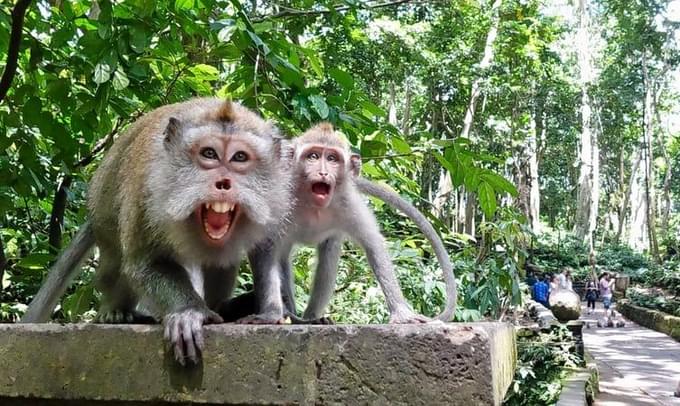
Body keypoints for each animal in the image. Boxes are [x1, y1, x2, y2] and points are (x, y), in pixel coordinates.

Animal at [19, 99, 290, 364]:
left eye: (240, 157)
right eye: (209, 154)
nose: (223, 183)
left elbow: (266, 248)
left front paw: (269, 312)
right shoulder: (146, 193)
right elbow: (146, 263)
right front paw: (189, 312)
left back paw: (223, 306)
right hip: (105, 219)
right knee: (114, 263)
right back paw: (115, 310)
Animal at [244, 123, 456, 324]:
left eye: (332, 159)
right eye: (313, 156)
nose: (323, 172)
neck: (313, 205)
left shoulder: (349, 205)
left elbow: (373, 245)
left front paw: (402, 313)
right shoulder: (277, 200)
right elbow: (263, 248)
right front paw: (271, 314)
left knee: (328, 253)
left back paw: (312, 317)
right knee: (281, 256)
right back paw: (293, 315)